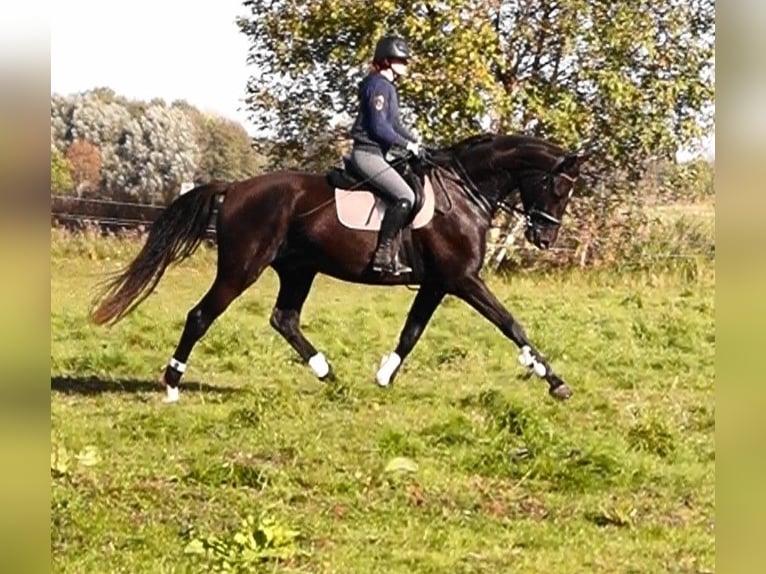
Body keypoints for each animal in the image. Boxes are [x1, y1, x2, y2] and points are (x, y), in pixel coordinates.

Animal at [91, 135, 592, 404]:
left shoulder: (436, 284)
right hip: (242, 269)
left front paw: (384, 376)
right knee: (201, 316)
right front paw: (555, 382)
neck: (464, 192)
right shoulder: (463, 280)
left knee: (285, 319)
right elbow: (511, 324)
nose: (544, 239)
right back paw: (173, 384)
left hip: (298, 270)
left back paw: (328, 374)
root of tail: (235, 189)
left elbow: (411, 333)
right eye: (559, 189)